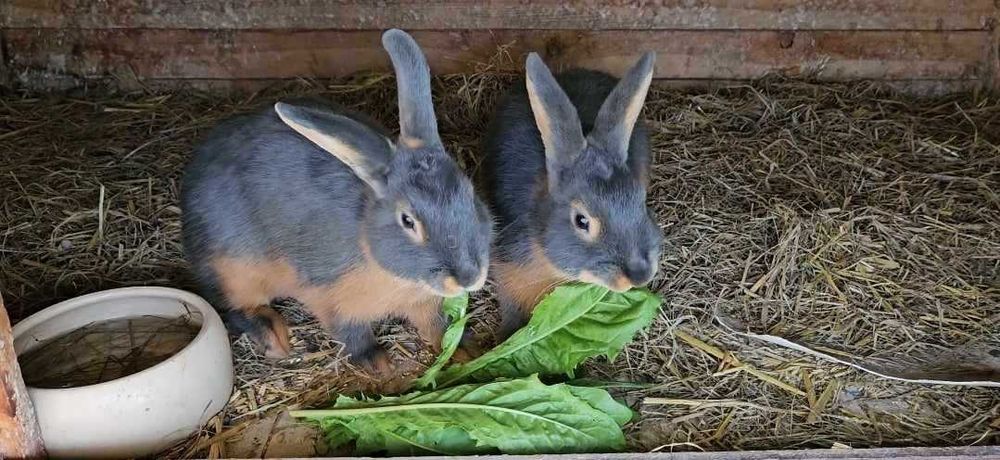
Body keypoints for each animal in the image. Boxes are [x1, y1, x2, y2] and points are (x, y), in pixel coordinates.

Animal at [181, 29, 493, 372]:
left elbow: (437, 325)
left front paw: (465, 350)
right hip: (234, 269)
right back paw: (273, 337)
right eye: (407, 220)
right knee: (233, 305)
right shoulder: (328, 296)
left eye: (469, 192)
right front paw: (377, 363)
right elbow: (350, 331)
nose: (469, 277)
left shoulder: (423, 302)